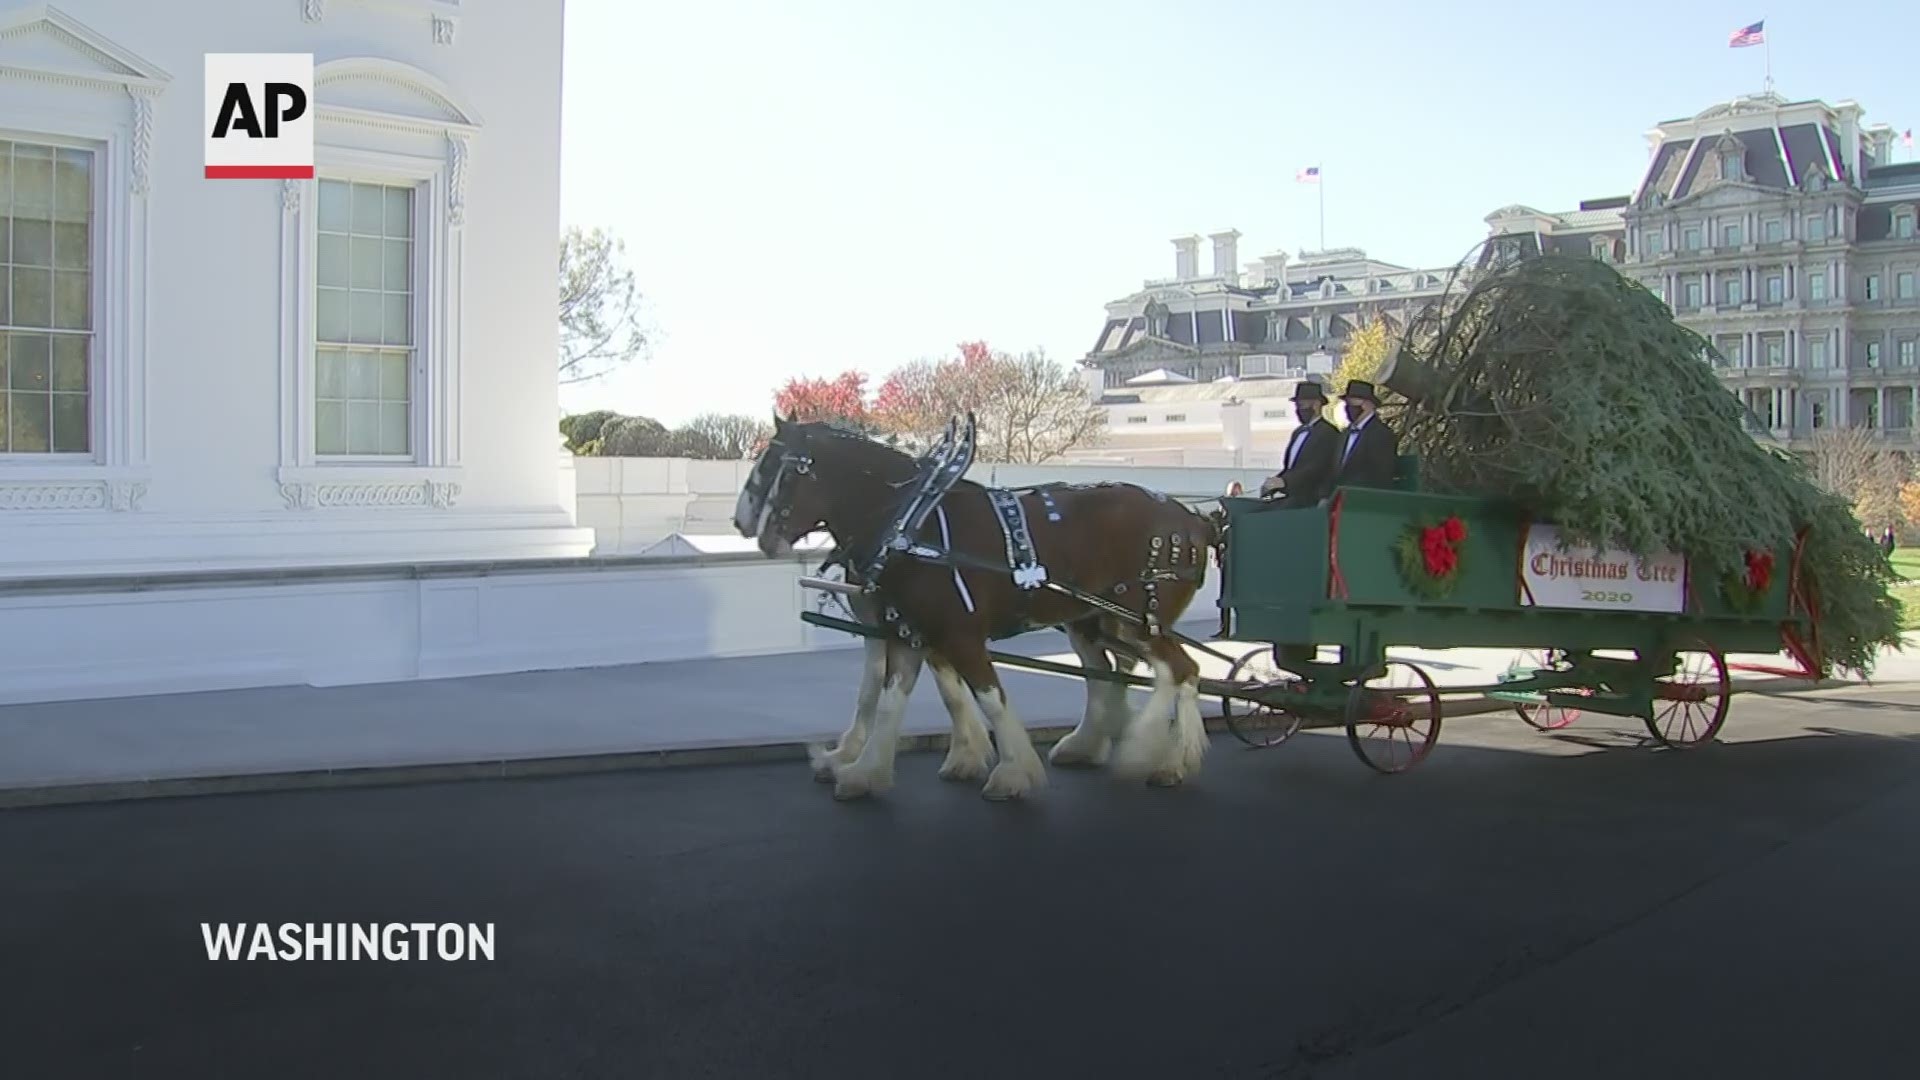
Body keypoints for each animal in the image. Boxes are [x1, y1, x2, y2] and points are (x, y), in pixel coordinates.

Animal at [733, 417, 1213, 795]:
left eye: (783, 470)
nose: (744, 523)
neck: (912, 523)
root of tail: (1193, 518)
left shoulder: (959, 636)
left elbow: (990, 697)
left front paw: (1011, 772)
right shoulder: (906, 631)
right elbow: (892, 697)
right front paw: (865, 771)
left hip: (1140, 621)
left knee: (1179, 671)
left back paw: (1157, 757)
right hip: (1091, 622)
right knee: (1112, 673)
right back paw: (1091, 744)